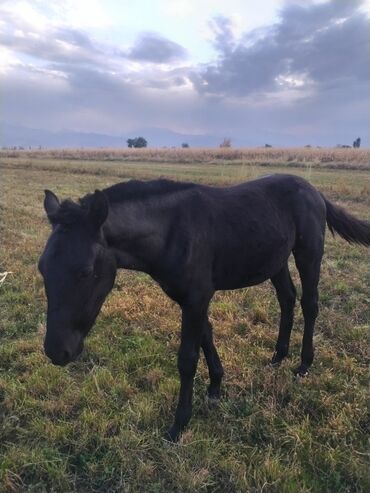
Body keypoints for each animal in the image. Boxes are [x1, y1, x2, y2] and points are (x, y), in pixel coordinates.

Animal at [39, 174, 368, 442]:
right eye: (42, 268)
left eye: (84, 271)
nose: (57, 352)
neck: (172, 232)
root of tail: (314, 190)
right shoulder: (192, 298)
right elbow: (206, 336)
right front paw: (215, 389)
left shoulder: (196, 297)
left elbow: (187, 358)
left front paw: (178, 425)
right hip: (275, 260)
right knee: (286, 299)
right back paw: (277, 356)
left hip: (308, 253)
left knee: (310, 304)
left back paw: (303, 364)